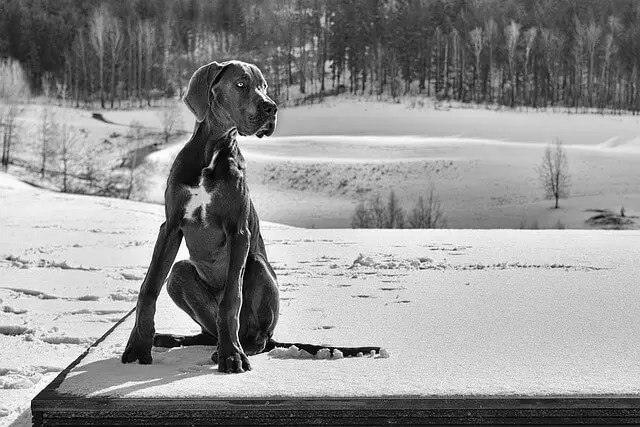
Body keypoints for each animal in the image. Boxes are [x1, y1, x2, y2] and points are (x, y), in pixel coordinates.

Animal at [122, 60, 378, 374]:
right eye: (241, 84)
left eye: (264, 86)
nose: (271, 108)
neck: (212, 152)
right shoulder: (171, 227)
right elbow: (148, 287)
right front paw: (138, 345)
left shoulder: (238, 231)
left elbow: (232, 299)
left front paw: (231, 355)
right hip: (180, 274)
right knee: (205, 328)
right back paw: (175, 338)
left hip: (256, 265)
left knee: (257, 337)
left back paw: (237, 347)